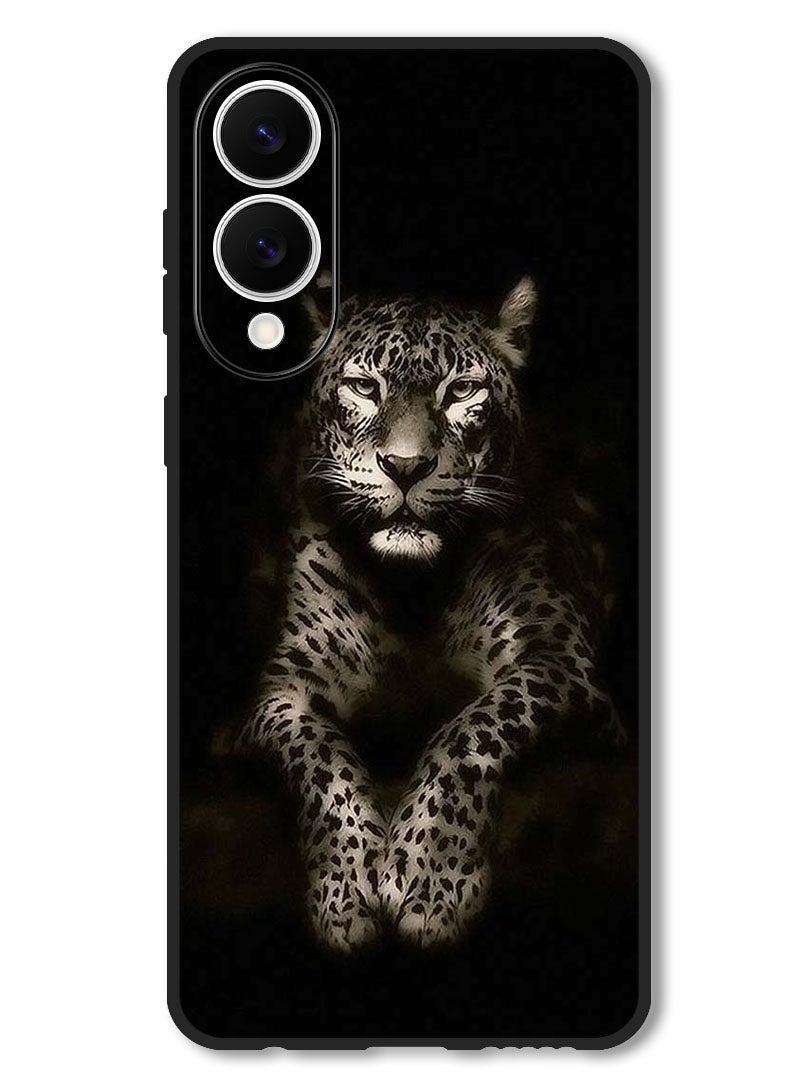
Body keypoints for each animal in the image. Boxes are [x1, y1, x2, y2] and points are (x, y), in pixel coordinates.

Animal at [237, 276, 625, 951]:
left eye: (462, 390)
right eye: (365, 387)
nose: (406, 466)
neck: (411, 591)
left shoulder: (560, 661)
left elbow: (470, 730)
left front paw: (429, 879)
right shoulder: (281, 692)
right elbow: (320, 757)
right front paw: (346, 889)